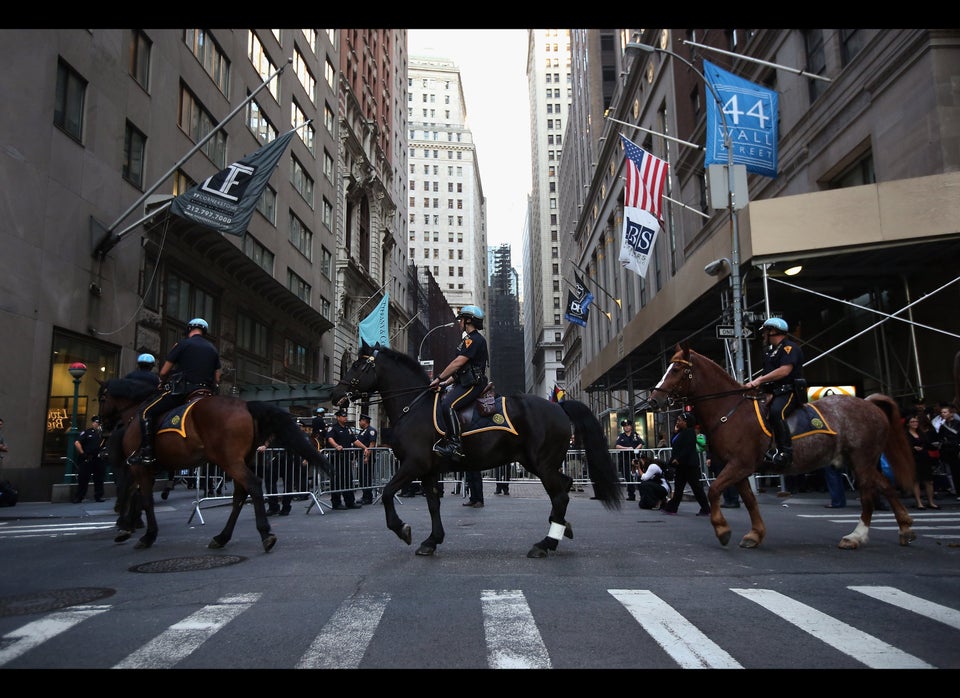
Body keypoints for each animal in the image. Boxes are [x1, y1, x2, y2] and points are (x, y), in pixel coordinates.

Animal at [97, 378, 330, 552]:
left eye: (102, 397)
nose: (102, 426)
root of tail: (245, 405)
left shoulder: (139, 465)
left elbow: (143, 497)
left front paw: (142, 532)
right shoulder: (145, 466)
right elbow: (134, 492)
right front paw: (127, 525)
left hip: (228, 459)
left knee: (253, 485)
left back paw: (264, 533)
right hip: (239, 459)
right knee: (241, 493)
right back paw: (223, 536)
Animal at [328, 340, 624, 556]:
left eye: (358, 366)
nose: (335, 395)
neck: (413, 406)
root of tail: (559, 406)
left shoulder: (413, 465)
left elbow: (388, 492)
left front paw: (402, 529)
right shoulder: (428, 470)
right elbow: (433, 504)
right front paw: (432, 540)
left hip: (542, 464)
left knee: (560, 495)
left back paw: (545, 544)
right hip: (536, 462)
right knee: (564, 486)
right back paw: (561, 527)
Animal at [644, 346, 916, 548]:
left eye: (677, 369)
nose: (653, 400)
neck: (729, 410)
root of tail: (870, 403)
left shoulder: (739, 464)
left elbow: (713, 491)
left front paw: (722, 529)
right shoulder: (738, 467)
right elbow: (749, 500)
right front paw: (755, 534)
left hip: (861, 460)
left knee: (869, 493)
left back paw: (856, 536)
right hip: (860, 460)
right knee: (885, 487)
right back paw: (904, 528)